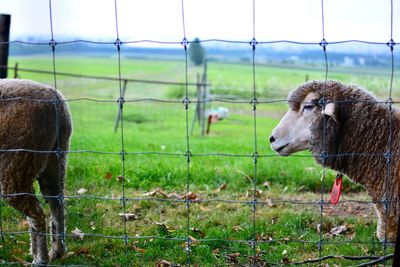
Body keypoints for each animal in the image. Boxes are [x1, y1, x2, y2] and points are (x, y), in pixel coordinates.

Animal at [0, 78, 71, 264]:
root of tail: (56, 102)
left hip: (15, 166)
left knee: (38, 215)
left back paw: (40, 259)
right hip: (55, 161)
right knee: (57, 206)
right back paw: (57, 250)